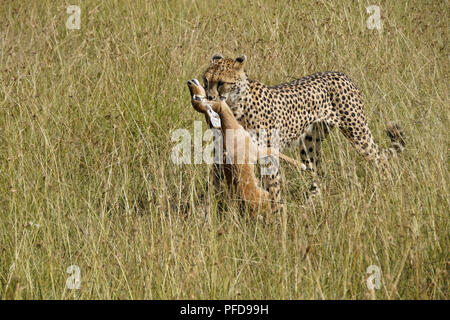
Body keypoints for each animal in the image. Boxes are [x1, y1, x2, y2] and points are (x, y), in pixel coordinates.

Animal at [202, 54, 406, 211]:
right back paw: (312, 203)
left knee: (380, 157)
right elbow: (213, 185)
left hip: (357, 132)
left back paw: (388, 187)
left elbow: (273, 188)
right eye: (206, 81)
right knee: (316, 172)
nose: (208, 97)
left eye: (221, 83)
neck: (235, 106)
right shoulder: (223, 153)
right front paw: (207, 216)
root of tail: (341, 74)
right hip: (309, 144)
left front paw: (276, 218)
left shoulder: (269, 154)